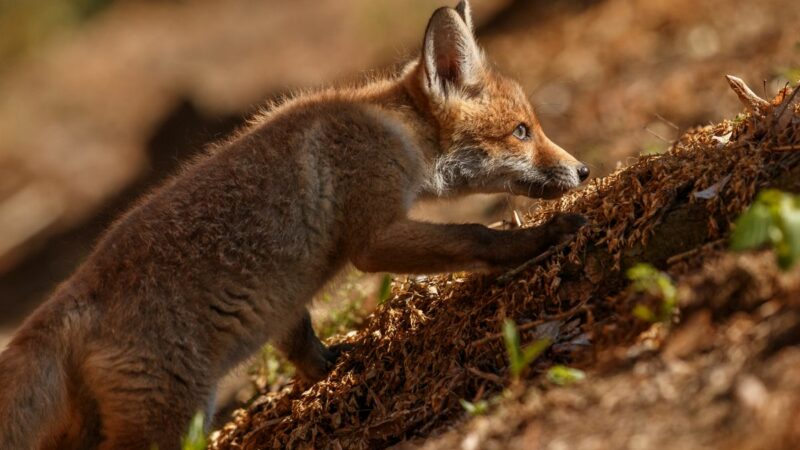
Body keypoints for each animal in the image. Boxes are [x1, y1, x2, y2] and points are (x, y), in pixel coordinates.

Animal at [0, 1, 588, 448]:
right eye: (521, 131)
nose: (583, 170)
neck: (392, 130)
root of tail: (75, 290)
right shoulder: (373, 239)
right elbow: (477, 235)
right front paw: (542, 237)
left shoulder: (283, 301)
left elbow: (301, 344)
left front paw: (332, 372)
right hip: (170, 419)